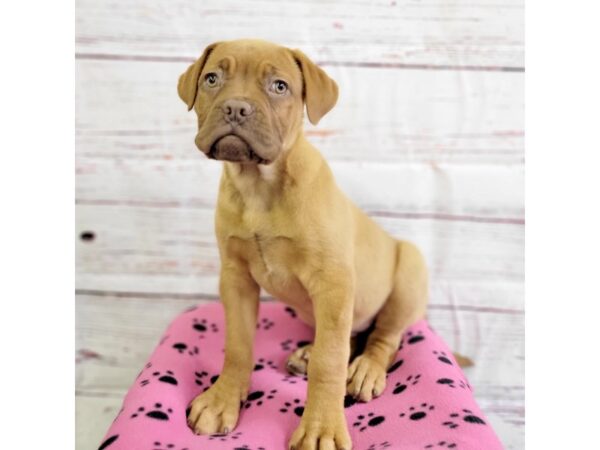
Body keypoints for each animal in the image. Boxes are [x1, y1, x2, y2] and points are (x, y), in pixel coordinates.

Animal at [179, 39, 432, 450]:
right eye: (212, 79)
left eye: (279, 86)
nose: (235, 108)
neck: (259, 185)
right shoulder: (235, 279)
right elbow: (238, 345)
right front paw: (222, 401)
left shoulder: (333, 283)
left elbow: (331, 362)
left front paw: (321, 428)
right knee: (349, 333)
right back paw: (310, 352)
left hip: (409, 268)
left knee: (382, 337)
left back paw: (365, 370)